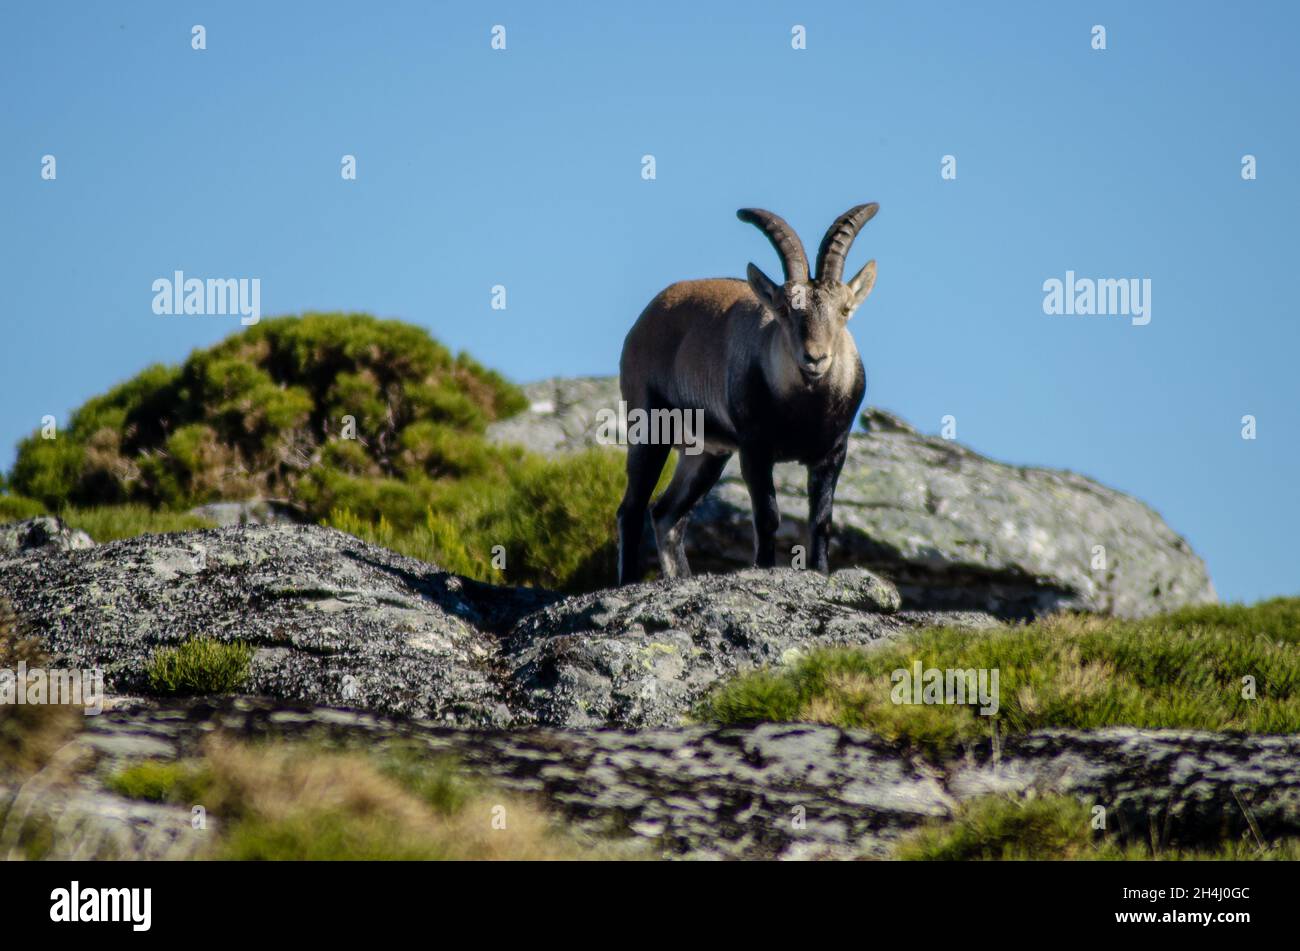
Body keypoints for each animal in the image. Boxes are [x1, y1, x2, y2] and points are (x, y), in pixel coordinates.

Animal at [616, 204, 878, 585]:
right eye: (783, 309)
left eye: (844, 309)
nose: (815, 358)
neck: (806, 409)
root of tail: (644, 319)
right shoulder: (755, 449)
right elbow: (767, 515)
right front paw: (765, 569)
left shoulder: (832, 452)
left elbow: (821, 521)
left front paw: (821, 573)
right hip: (650, 426)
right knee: (632, 508)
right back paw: (628, 581)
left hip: (707, 453)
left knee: (667, 514)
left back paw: (679, 577)